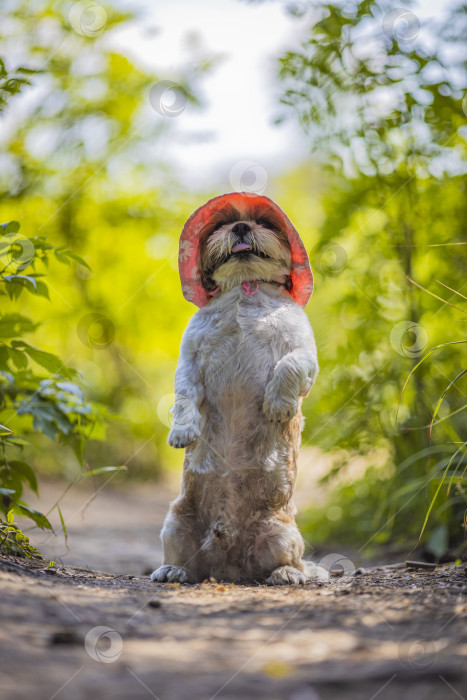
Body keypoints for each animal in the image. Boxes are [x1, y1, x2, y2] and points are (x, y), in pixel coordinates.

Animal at [151, 191, 330, 584]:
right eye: (221, 224)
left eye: (264, 223)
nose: (242, 226)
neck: (246, 290)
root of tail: (227, 564)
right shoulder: (190, 358)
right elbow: (184, 395)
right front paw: (183, 431)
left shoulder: (304, 353)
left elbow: (289, 365)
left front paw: (278, 405)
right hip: (174, 526)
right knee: (185, 562)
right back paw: (171, 569)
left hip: (283, 536)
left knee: (288, 563)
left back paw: (287, 574)